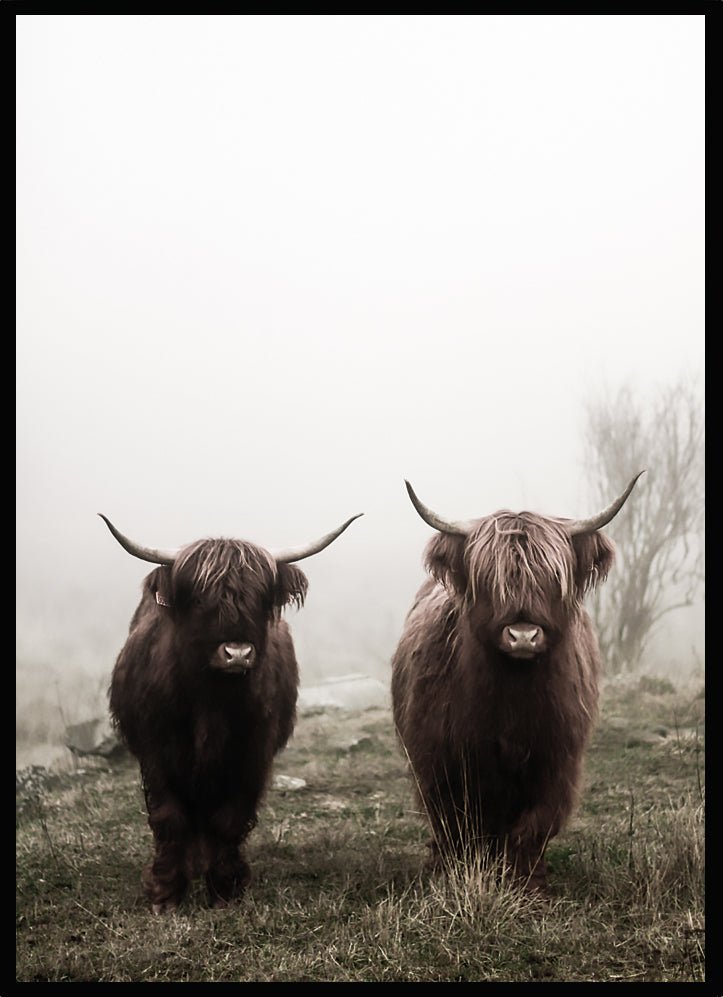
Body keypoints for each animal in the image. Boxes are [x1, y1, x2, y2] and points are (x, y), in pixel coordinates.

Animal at [101, 510, 362, 913]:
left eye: (260, 599)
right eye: (199, 600)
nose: (237, 653)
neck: (213, 701)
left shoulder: (252, 752)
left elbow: (230, 819)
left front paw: (226, 888)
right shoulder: (156, 750)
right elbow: (169, 817)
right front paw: (166, 893)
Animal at [391, 473, 643, 895]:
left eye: (553, 579)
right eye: (488, 580)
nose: (523, 636)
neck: (513, 697)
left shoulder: (557, 759)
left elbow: (534, 826)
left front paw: (528, 884)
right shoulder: (439, 760)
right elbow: (455, 825)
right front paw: (453, 874)